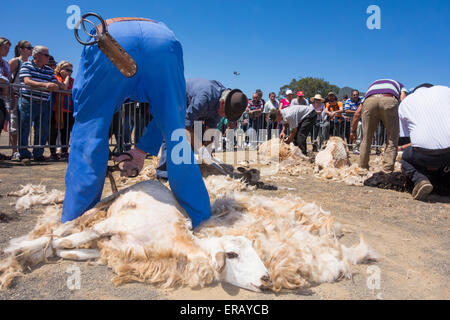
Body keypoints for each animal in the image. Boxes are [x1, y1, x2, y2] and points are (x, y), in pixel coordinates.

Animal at [1, 178, 378, 292]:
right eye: (233, 255)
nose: (267, 279)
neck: (171, 242)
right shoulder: (110, 228)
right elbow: (67, 240)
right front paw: (28, 249)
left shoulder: (112, 246)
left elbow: (77, 250)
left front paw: (61, 253)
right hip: (111, 201)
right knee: (76, 220)